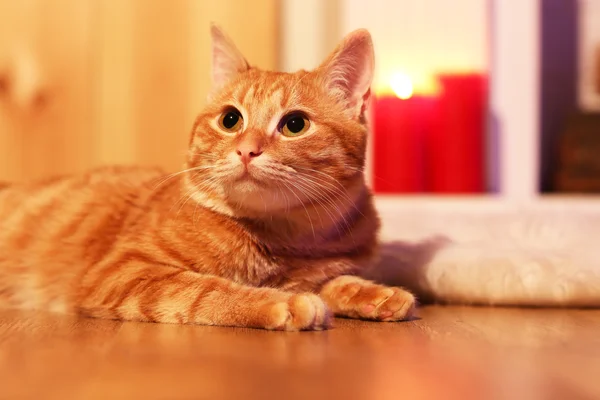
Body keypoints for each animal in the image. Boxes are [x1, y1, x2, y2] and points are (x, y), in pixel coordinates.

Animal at [0, 25, 414, 332]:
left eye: (295, 125)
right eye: (231, 120)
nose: (247, 150)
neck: (285, 240)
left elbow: (337, 282)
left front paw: (376, 294)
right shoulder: (124, 271)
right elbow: (208, 291)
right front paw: (280, 301)